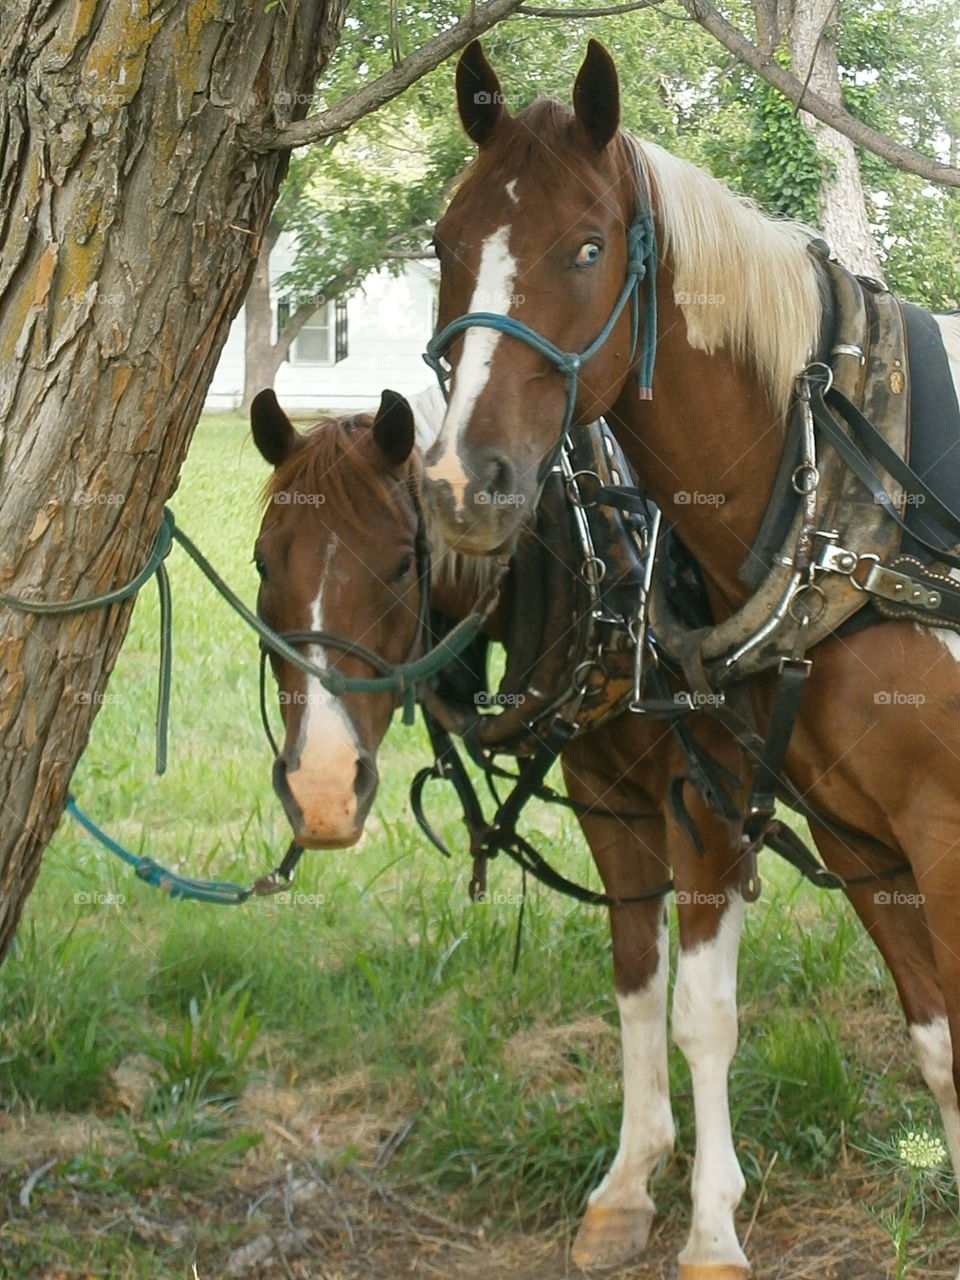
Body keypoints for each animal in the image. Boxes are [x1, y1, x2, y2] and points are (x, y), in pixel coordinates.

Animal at [250, 385, 766, 1276]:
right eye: (261, 564)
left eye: (402, 563)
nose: (321, 789)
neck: (602, 559)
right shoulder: (610, 801)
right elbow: (637, 982)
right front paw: (629, 1185)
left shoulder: (708, 808)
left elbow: (702, 1018)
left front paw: (711, 1227)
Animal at [422, 38, 960, 1279]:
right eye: (444, 245)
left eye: (587, 246)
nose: (466, 484)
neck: (851, 502)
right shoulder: (854, 829)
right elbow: (926, 1033)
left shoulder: (918, 822)